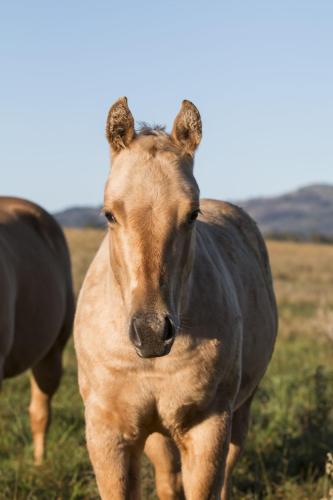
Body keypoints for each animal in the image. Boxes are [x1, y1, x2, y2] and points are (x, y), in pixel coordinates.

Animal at [75, 98, 278, 500]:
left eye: (193, 214)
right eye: (109, 214)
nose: (152, 333)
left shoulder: (207, 429)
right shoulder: (109, 436)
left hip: (240, 412)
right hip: (158, 433)